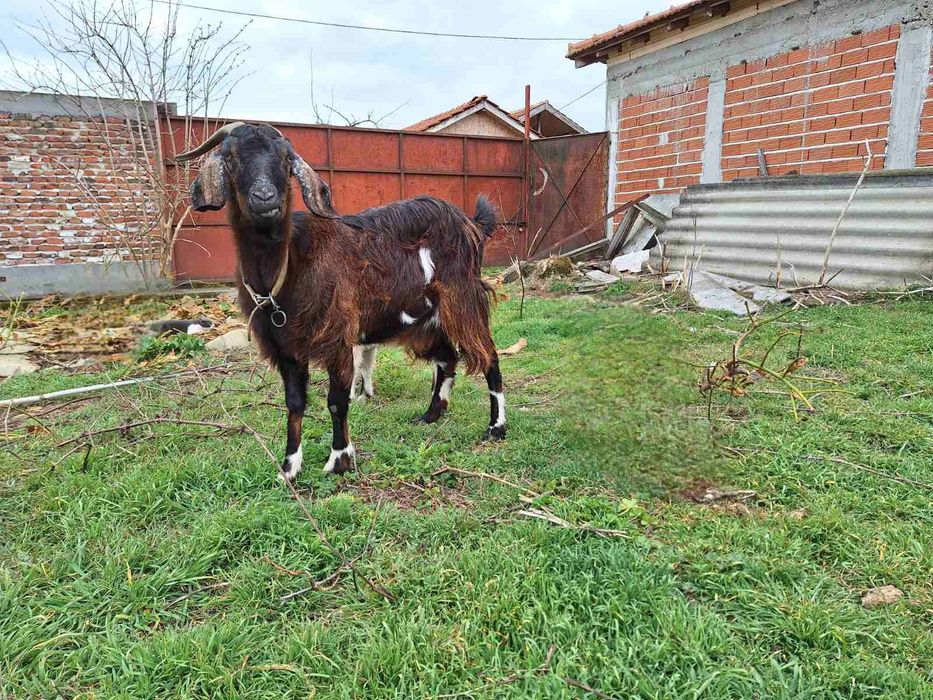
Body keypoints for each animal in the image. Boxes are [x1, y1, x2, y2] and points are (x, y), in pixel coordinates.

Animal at [176, 122, 506, 479]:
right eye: (231, 158)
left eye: (286, 160)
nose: (265, 198)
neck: (286, 271)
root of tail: (472, 224)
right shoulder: (285, 348)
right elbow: (294, 403)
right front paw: (288, 468)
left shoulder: (336, 337)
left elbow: (336, 400)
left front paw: (339, 460)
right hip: (425, 319)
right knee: (447, 358)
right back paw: (431, 415)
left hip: (462, 301)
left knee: (488, 355)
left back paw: (496, 428)